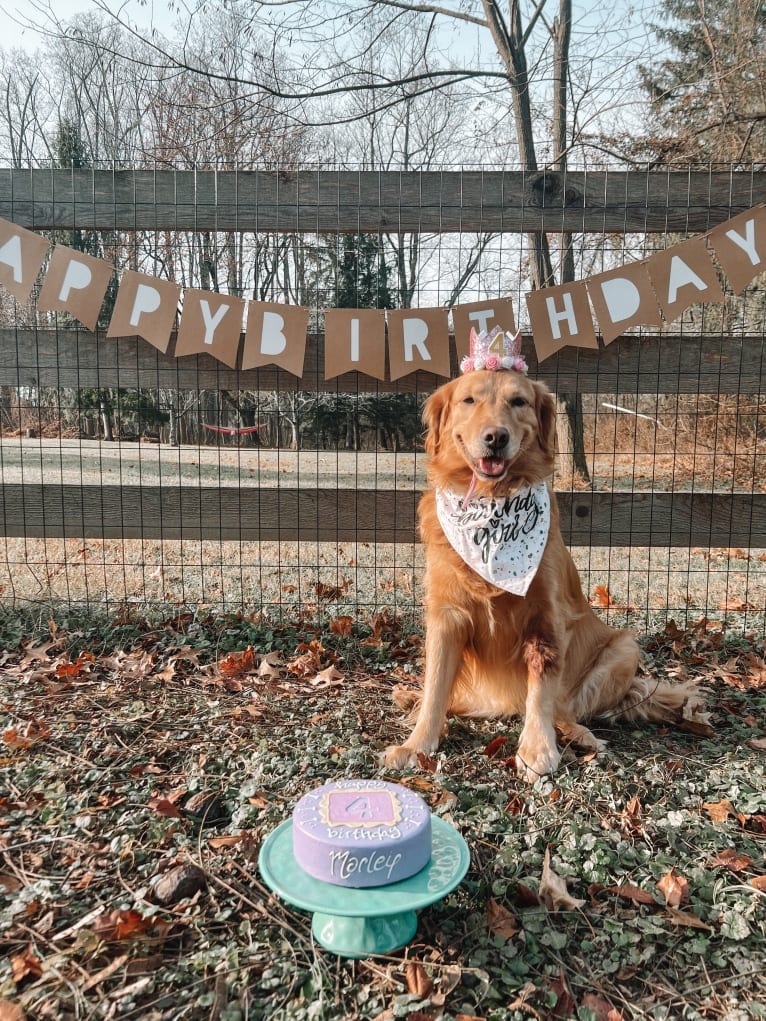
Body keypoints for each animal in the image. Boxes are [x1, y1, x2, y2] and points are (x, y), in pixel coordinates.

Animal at [386, 349, 706, 780]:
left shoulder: (546, 616)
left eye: (518, 401)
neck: (493, 506)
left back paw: (579, 735)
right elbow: (436, 687)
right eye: (469, 400)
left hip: (624, 649)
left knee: (565, 708)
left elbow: (542, 692)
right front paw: (417, 743)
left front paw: (537, 749)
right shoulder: (446, 616)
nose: (496, 437)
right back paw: (410, 697)